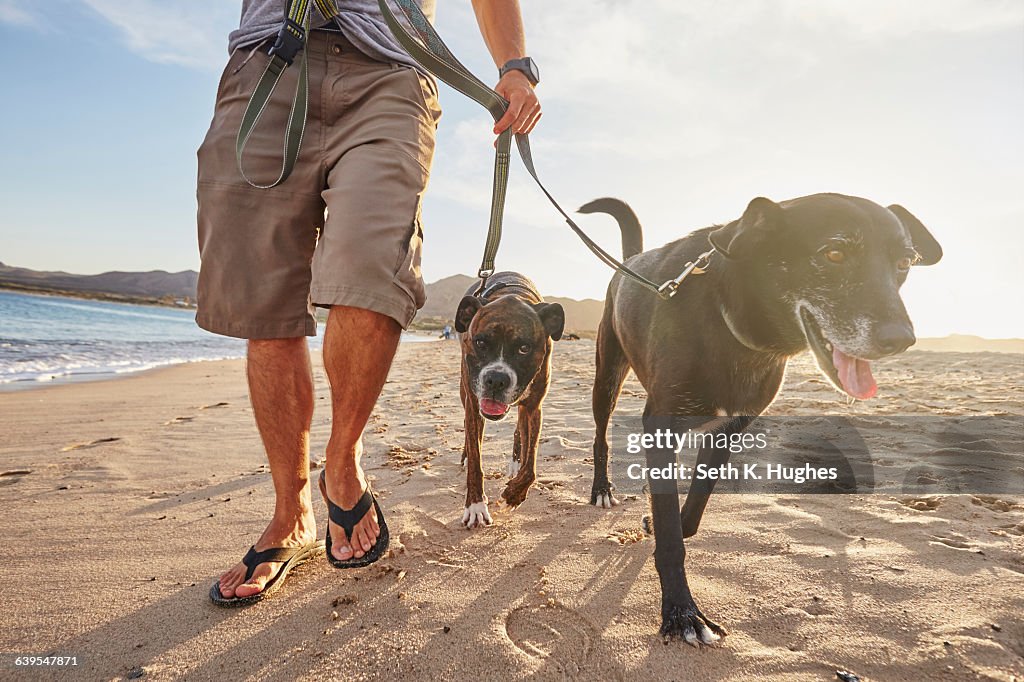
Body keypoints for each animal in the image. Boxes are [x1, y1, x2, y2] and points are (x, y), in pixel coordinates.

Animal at [456, 270, 569, 524]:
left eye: (524, 348)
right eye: (480, 342)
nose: (497, 379)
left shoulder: (534, 407)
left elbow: (531, 465)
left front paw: (514, 494)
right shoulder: (473, 404)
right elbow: (476, 461)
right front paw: (476, 505)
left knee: (520, 430)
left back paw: (516, 463)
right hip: (464, 394)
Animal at [581, 191, 937, 643]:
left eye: (905, 262)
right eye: (834, 253)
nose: (900, 340)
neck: (732, 326)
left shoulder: (729, 430)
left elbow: (691, 508)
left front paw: (666, 523)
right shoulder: (660, 427)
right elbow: (672, 537)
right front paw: (682, 613)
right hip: (607, 375)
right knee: (600, 434)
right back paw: (602, 488)